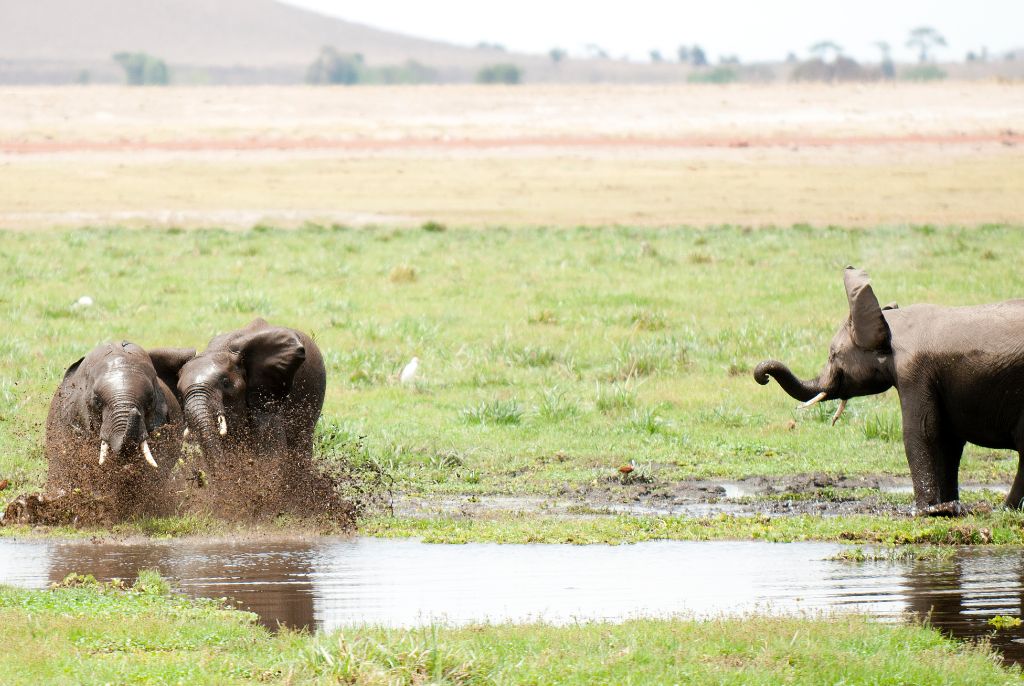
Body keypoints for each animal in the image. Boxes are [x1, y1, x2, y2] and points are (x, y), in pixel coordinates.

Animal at [754, 266, 1024, 515]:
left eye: (833, 356)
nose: (764, 377)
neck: (894, 324)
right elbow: (949, 439)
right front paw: (949, 507)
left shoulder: (914, 371)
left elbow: (923, 431)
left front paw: (928, 512)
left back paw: (1004, 510)